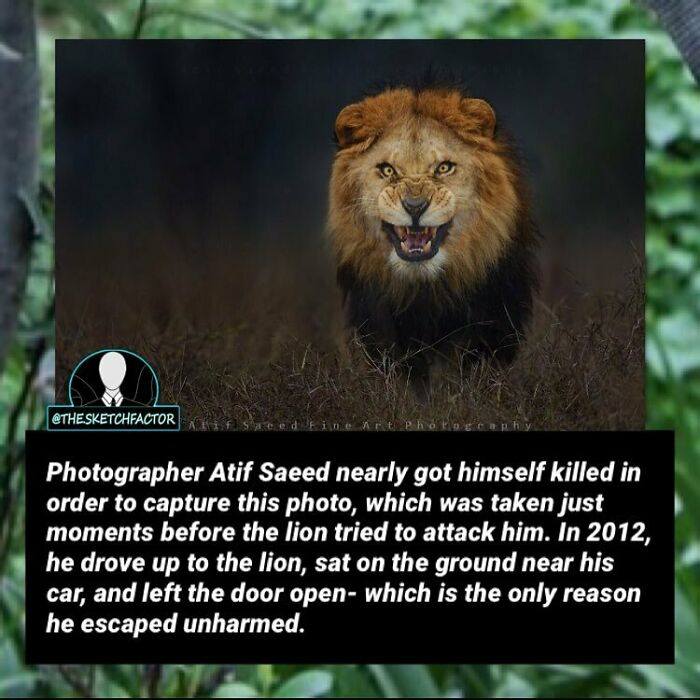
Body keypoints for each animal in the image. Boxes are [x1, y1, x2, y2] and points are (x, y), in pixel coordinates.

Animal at [327, 84, 538, 389]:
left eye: (443, 167)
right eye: (388, 169)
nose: (415, 207)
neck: (425, 288)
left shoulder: (491, 323)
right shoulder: (380, 327)